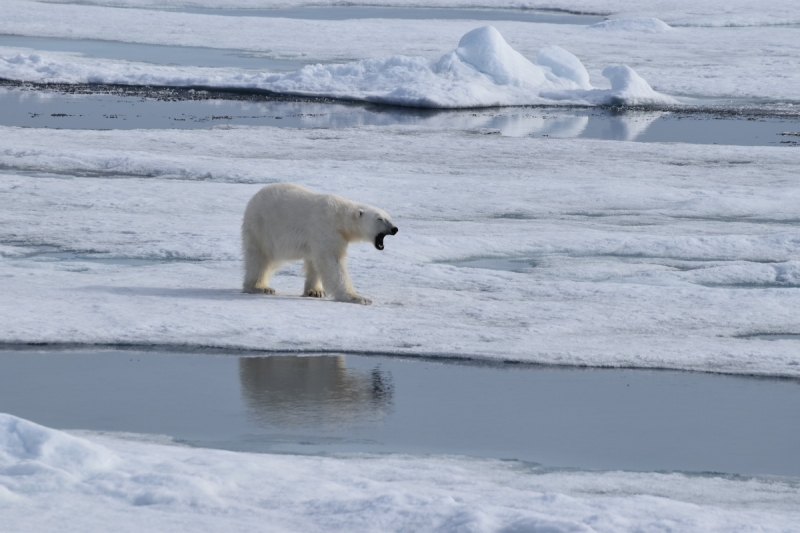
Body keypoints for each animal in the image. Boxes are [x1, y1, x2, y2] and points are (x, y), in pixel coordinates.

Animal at [241, 183, 396, 304]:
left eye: (389, 218)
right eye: (379, 219)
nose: (394, 229)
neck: (339, 217)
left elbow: (315, 262)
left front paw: (315, 291)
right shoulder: (326, 229)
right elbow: (332, 262)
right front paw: (358, 298)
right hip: (262, 229)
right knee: (260, 259)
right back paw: (260, 287)